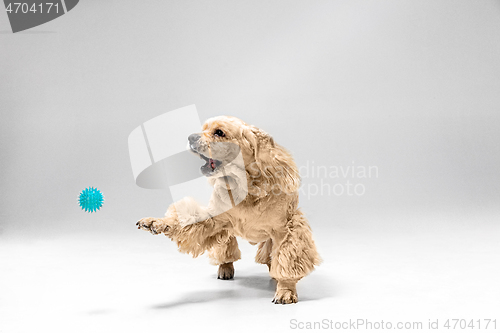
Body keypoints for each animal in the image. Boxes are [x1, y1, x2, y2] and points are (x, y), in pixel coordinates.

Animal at [137, 116, 322, 304]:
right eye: (203, 129)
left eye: (219, 132)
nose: (190, 137)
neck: (246, 187)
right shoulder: (213, 219)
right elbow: (185, 219)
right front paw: (155, 222)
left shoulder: (286, 230)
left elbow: (286, 261)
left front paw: (286, 291)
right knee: (227, 252)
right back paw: (225, 269)